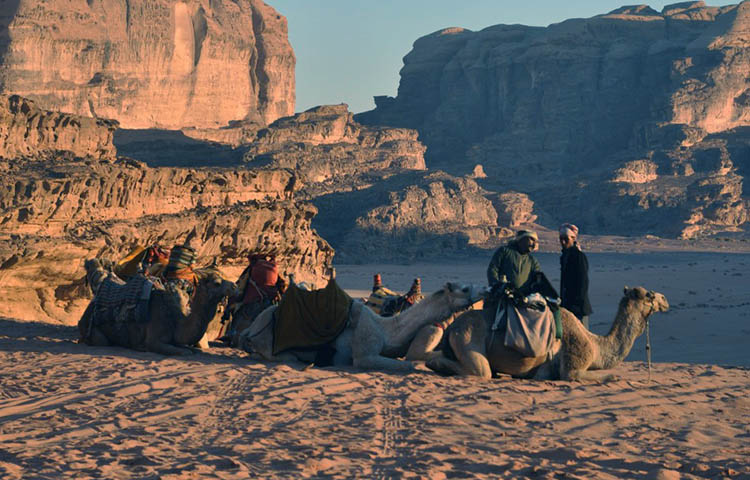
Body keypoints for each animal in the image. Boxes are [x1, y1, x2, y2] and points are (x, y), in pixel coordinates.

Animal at [76, 258, 235, 356]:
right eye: (217, 283)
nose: (234, 286)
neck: (175, 318)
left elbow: (189, 349)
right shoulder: (154, 340)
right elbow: (185, 352)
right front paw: (141, 347)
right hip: (94, 332)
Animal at [241, 282, 488, 372]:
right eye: (464, 289)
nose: (485, 289)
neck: (386, 330)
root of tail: (250, 329)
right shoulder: (363, 354)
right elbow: (409, 364)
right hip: (268, 342)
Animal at [428, 284, 668, 382]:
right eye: (649, 295)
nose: (665, 300)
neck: (595, 344)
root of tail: (452, 328)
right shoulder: (573, 365)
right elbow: (604, 376)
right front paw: (614, 376)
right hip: (468, 340)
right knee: (480, 371)